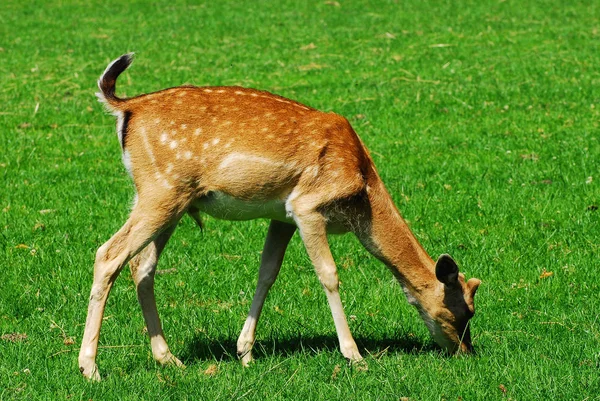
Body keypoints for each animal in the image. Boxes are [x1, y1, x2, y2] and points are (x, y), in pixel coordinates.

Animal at [79, 52, 482, 378]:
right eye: (463, 312)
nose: (467, 352)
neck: (363, 193)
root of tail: (124, 107)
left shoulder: (282, 216)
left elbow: (267, 272)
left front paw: (245, 352)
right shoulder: (307, 206)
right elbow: (329, 274)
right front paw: (355, 357)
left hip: (168, 200)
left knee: (142, 266)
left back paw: (168, 358)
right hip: (160, 190)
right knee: (108, 254)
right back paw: (90, 368)